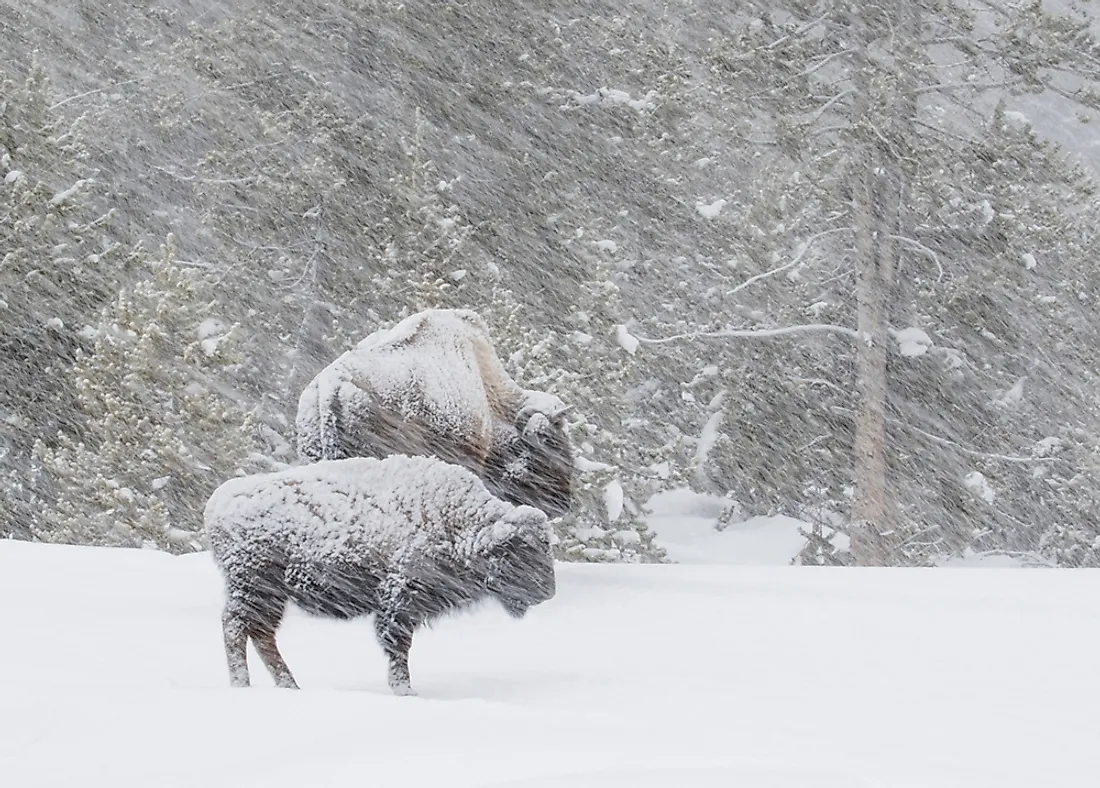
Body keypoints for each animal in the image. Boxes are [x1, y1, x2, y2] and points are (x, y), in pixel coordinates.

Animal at [205, 453, 554, 691]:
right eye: (520, 552)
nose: (548, 591)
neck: (458, 523)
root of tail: (219, 501)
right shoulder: (399, 601)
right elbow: (398, 648)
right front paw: (404, 690)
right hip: (255, 585)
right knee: (236, 627)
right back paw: (244, 684)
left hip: (270, 595)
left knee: (260, 634)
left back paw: (289, 685)